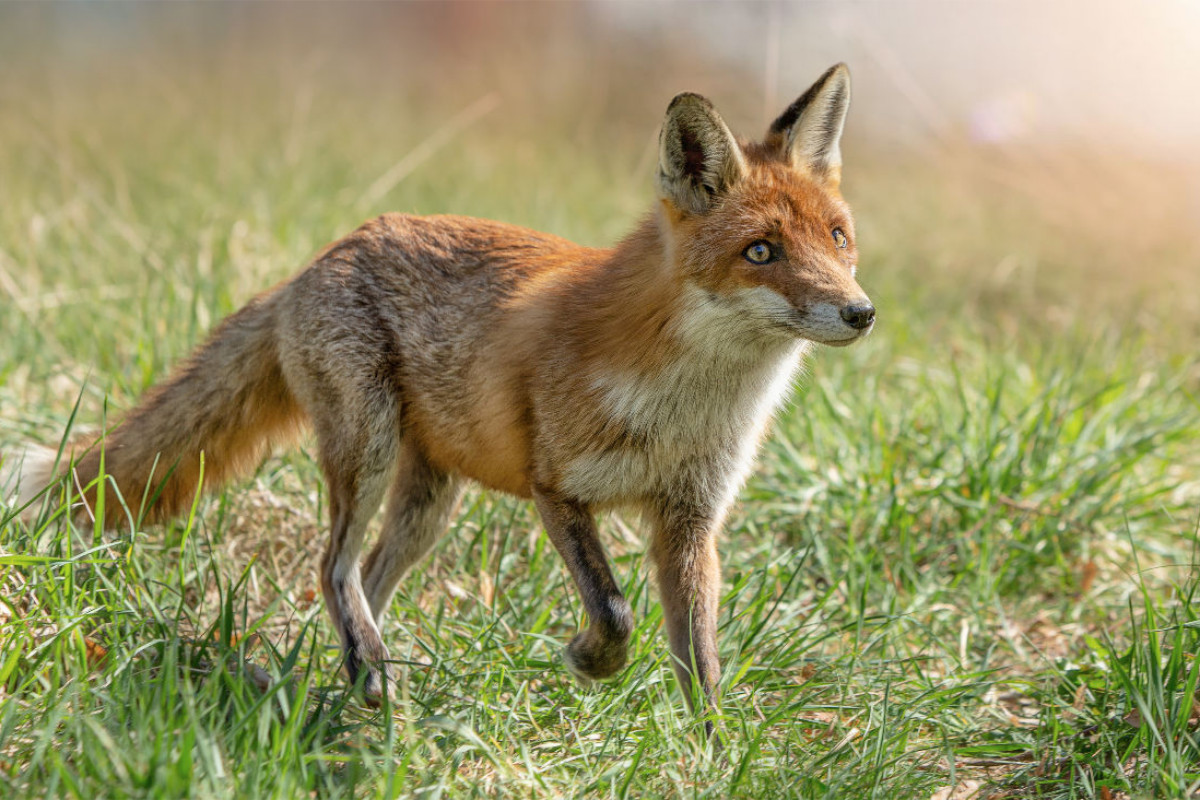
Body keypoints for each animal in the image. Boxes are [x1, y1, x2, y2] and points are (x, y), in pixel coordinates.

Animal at [4, 64, 878, 734]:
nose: (860, 313)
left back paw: (359, 678)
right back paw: (369, 672)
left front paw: (713, 752)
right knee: (332, 566)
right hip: (368, 449)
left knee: (363, 578)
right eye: (760, 252)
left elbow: (700, 661)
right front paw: (589, 660)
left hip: (430, 499)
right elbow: (615, 612)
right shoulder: (556, 489)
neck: (685, 407)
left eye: (837, 238)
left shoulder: (692, 521)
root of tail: (316, 259)